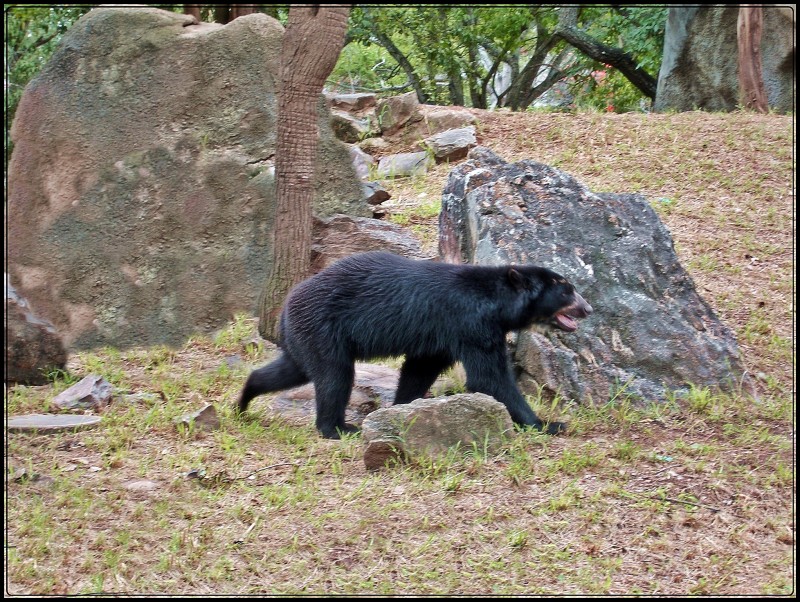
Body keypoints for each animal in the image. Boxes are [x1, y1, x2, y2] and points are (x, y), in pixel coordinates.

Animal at [238, 251, 592, 438]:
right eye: (567, 290)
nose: (587, 308)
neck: (497, 303)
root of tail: (285, 306)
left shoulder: (442, 335)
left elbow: (419, 368)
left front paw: (402, 409)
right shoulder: (470, 325)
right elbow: (490, 378)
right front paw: (548, 423)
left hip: (306, 336)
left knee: (292, 369)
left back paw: (243, 400)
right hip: (323, 328)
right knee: (334, 377)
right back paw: (339, 428)